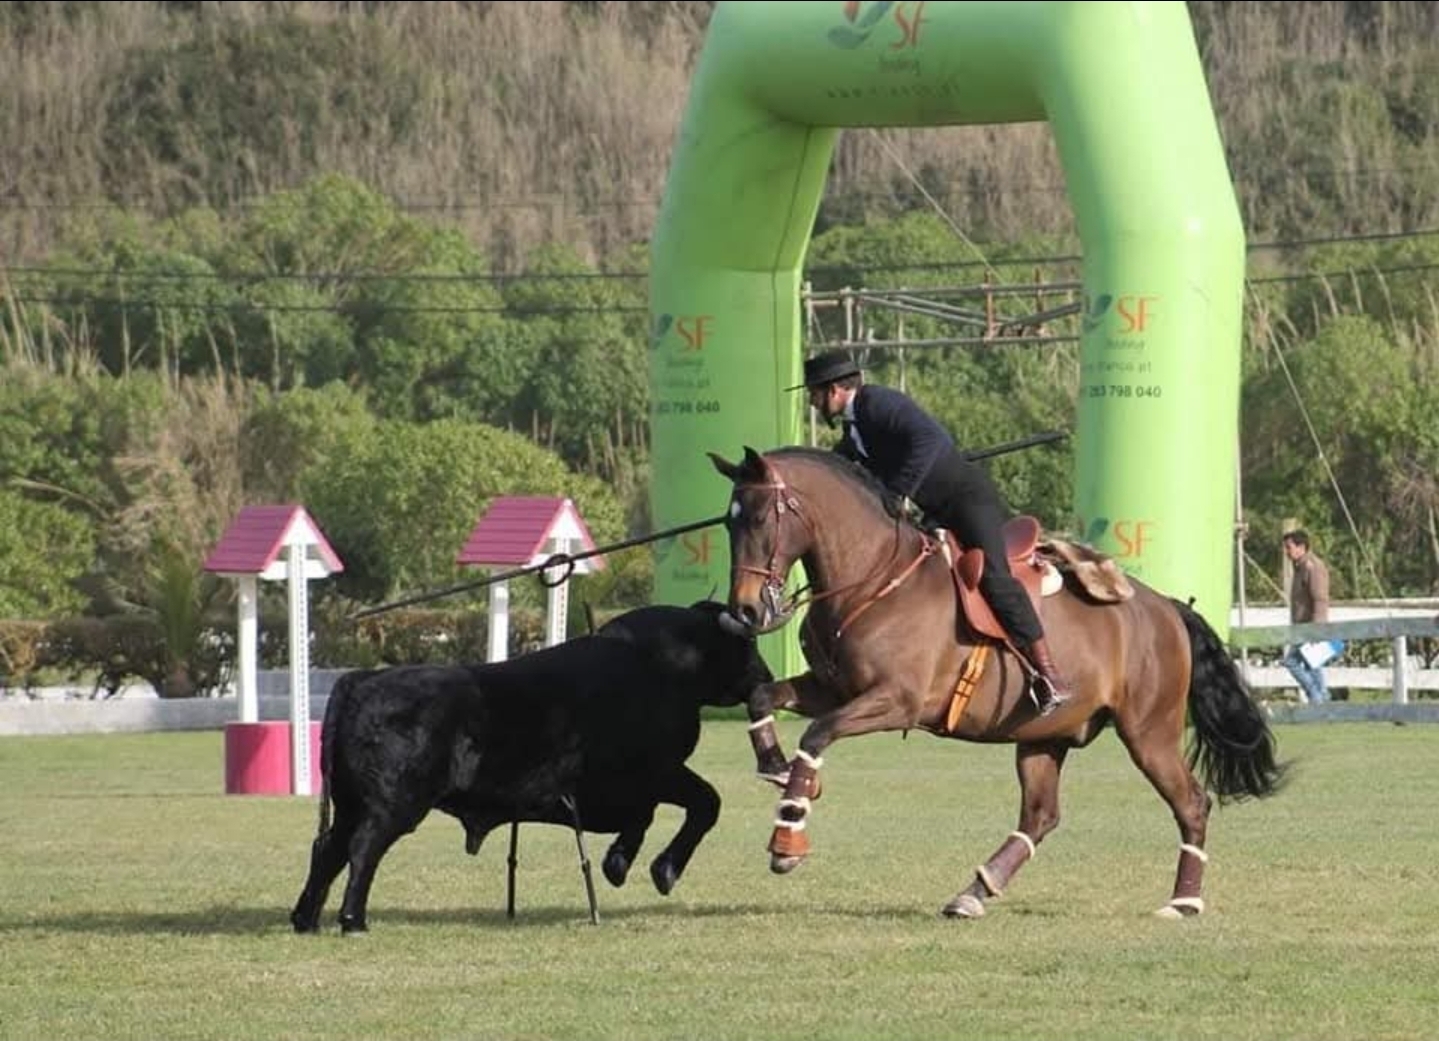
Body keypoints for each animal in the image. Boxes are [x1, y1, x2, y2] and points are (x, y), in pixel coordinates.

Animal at [289, 600, 771, 933]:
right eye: (745, 646)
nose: (767, 680)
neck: (659, 666)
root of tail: (365, 678)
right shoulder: (655, 773)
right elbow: (703, 802)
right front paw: (660, 869)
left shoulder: (635, 785)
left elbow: (650, 814)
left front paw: (618, 863)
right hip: (394, 804)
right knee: (362, 848)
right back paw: (352, 919)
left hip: (353, 804)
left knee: (328, 849)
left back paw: (306, 918)